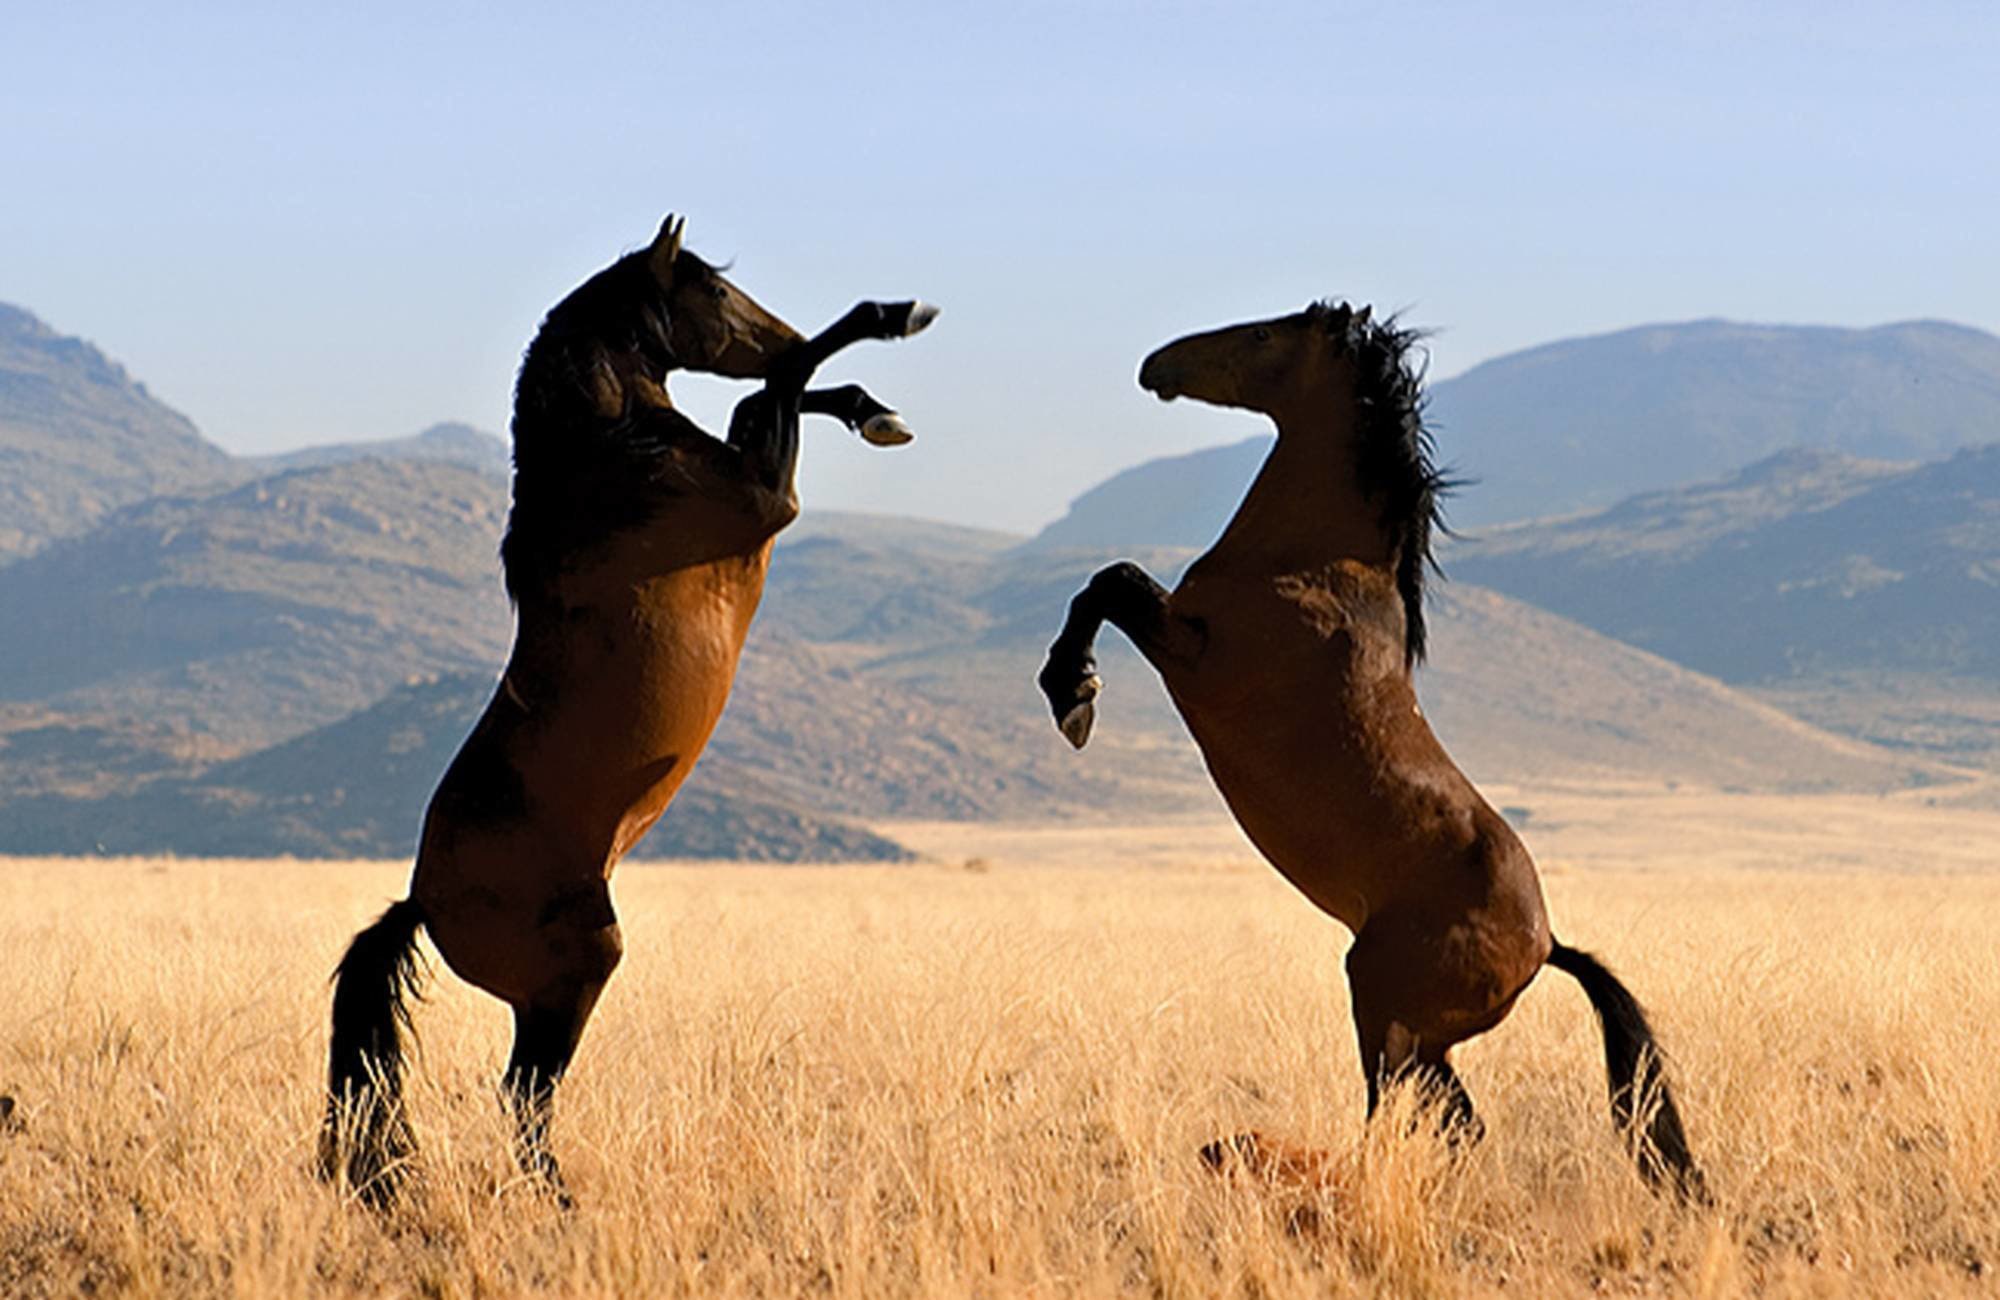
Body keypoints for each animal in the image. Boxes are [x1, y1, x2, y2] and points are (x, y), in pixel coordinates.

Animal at [318, 216, 936, 1204]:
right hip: (577, 970)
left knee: (523, 1093)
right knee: (524, 1093)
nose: (773, 326)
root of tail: (421, 901)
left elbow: (770, 392)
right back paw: (563, 1200)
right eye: (712, 291)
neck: (613, 462)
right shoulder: (768, 497)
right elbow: (780, 384)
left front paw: (874, 409)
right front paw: (893, 318)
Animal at [1037, 302, 1707, 1201]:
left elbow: (1113, 580)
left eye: (1262, 335)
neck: (1312, 565)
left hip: (1382, 1009)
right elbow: (1107, 580)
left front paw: (1072, 694)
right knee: (1456, 1122)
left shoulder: (1195, 654)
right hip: (1420, 1038)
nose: (1156, 365)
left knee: (1405, 1116)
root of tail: (1546, 947)